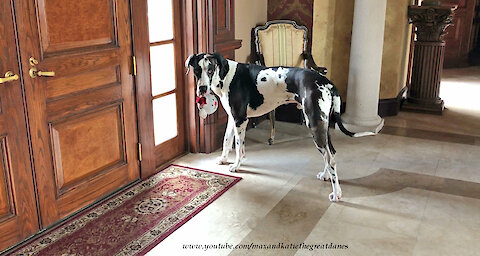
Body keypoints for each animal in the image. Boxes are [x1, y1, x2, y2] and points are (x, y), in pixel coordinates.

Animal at [184, 53, 372, 201]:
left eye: (210, 70)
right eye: (197, 70)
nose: (202, 88)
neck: (226, 75)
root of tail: (328, 83)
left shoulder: (240, 120)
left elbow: (238, 147)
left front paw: (236, 166)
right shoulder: (232, 119)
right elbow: (226, 141)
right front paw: (223, 159)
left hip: (313, 124)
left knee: (330, 158)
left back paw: (337, 193)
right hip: (322, 126)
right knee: (330, 153)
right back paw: (325, 175)